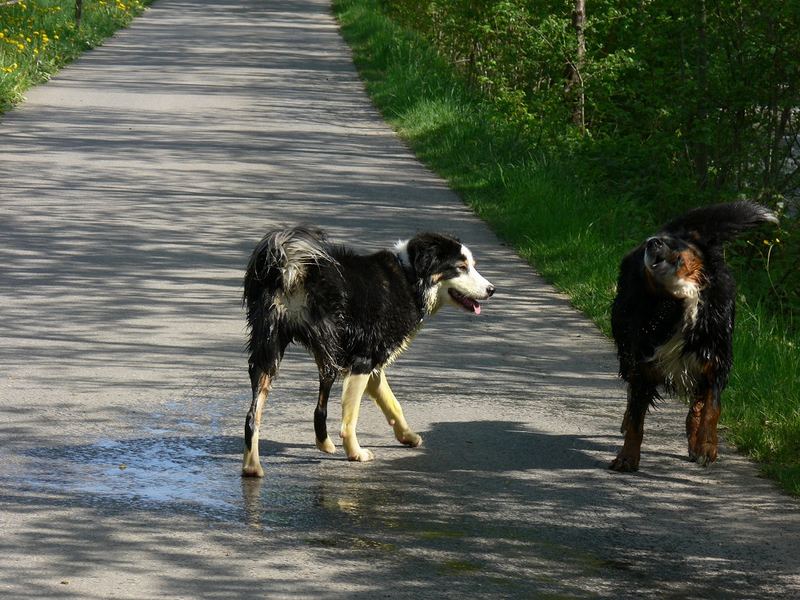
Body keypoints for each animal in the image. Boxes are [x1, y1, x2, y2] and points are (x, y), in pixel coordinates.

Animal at [241, 226, 496, 478]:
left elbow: (392, 404)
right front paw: (357, 453)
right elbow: (350, 418)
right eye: (461, 267)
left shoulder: (375, 363)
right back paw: (334, 446)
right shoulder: (363, 361)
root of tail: (292, 267)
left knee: (253, 417)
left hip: (268, 350)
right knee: (321, 409)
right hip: (328, 351)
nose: (492, 290)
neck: (410, 277)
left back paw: (253, 467)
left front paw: (408, 436)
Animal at [612, 203, 776, 474]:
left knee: (696, 408)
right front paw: (627, 457)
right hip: (625, 346)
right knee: (630, 391)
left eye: (675, 243)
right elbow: (636, 417)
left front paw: (707, 447)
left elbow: (711, 409)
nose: (652, 242)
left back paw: (695, 441)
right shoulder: (644, 362)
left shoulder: (715, 361)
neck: (680, 299)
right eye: (653, 245)